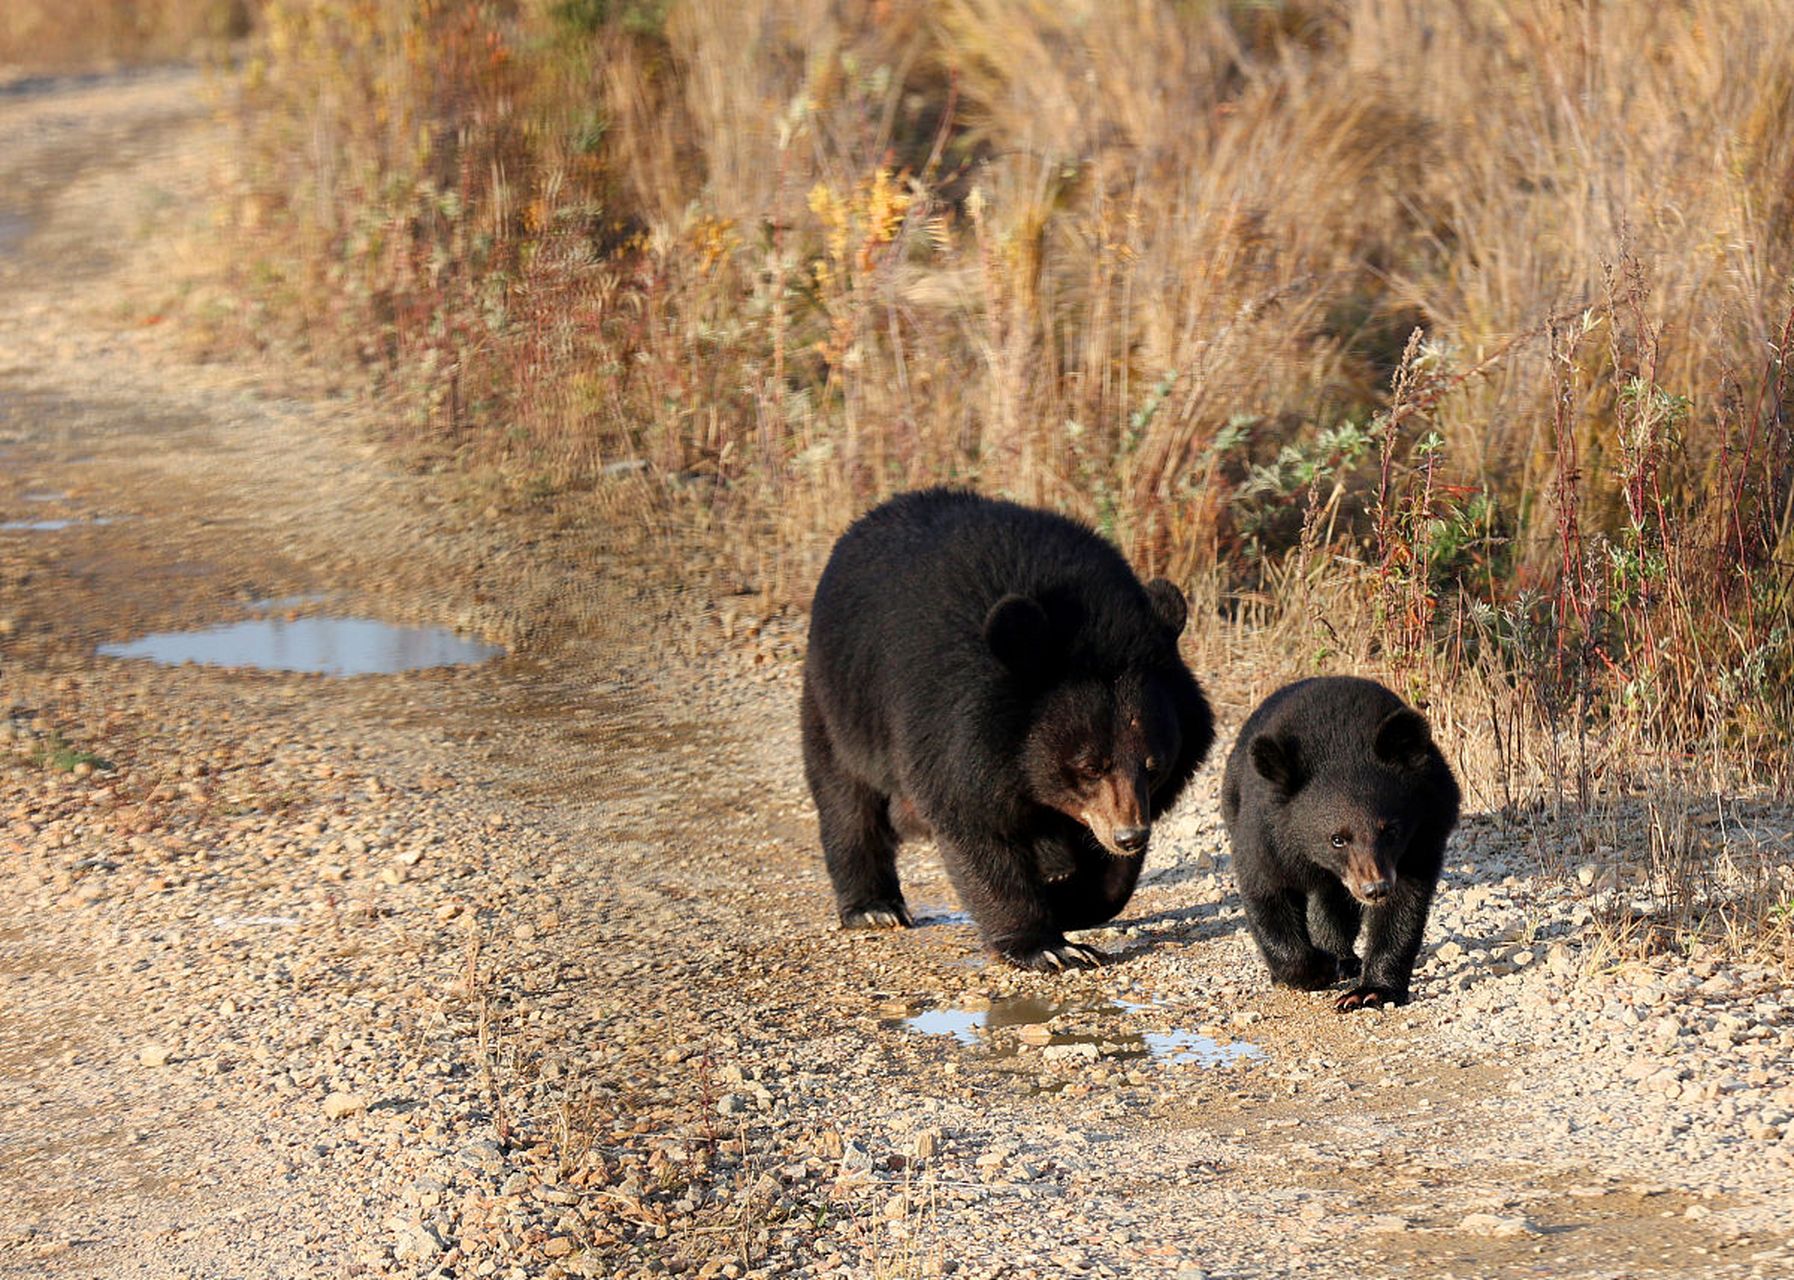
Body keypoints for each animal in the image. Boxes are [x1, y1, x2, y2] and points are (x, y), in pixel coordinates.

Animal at [803, 488, 1212, 969]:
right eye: (1089, 767)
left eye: (1154, 766)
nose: (1130, 836)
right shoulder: (949, 723)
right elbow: (977, 829)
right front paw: (1051, 947)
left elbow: (1107, 877)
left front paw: (1068, 900)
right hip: (839, 700)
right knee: (846, 796)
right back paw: (873, 908)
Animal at [1219, 678, 1456, 1005]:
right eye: (1337, 839)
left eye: (1391, 831)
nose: (1375, 889)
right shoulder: (1265, 835)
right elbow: (1266, 892)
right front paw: (1315, 969)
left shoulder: (1423, 833)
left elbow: (1403, 907)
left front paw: (1369, 992)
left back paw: (1343, 958)